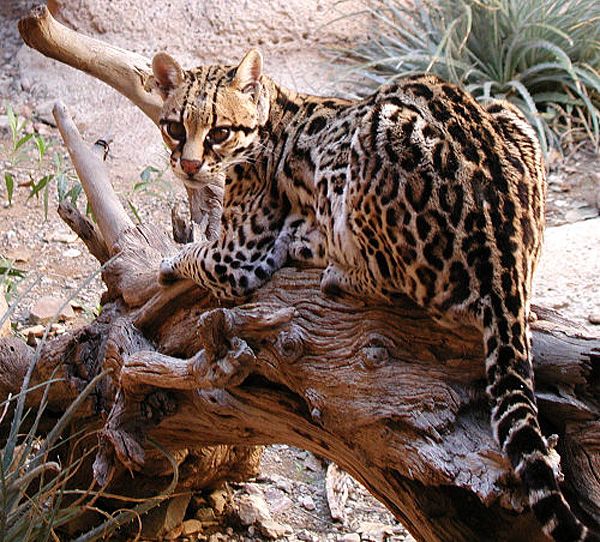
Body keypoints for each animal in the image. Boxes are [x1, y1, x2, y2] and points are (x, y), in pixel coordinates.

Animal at [151, 49, 600, 540]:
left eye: (220, 132)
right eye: (175, 127)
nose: (187, 167)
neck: (272, 108)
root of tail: (507, 267)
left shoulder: (239, 256)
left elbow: (197, 254)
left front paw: (169, 262)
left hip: (375, 132)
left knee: (397, 282)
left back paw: (334, 266)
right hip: (506, 110)